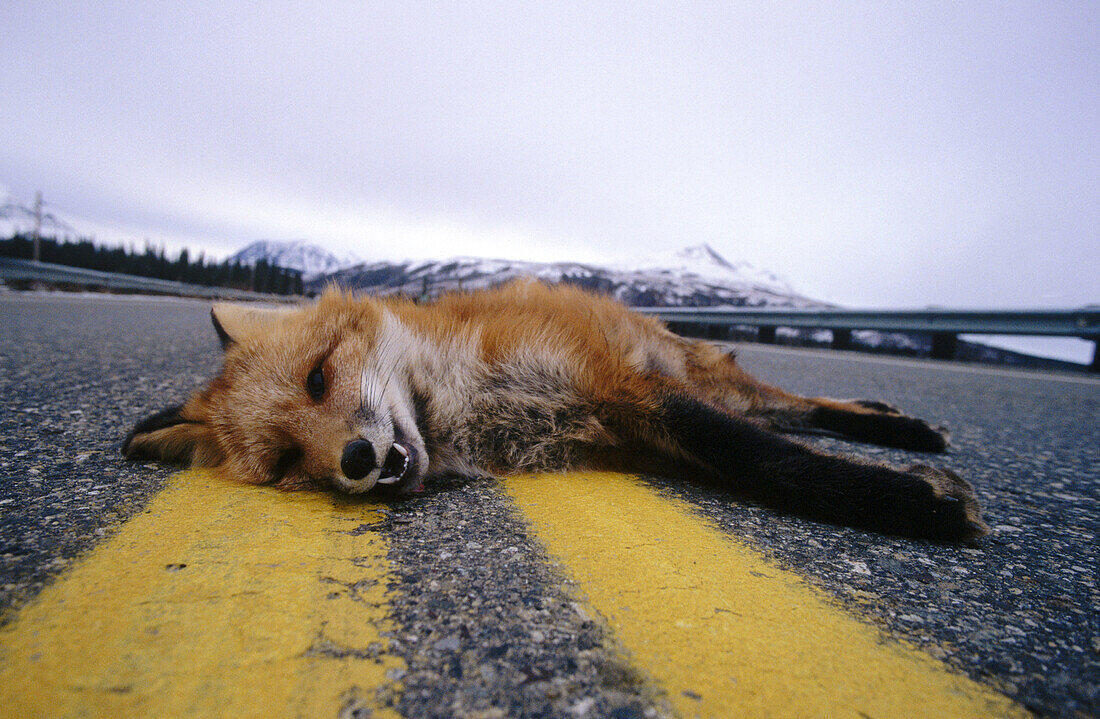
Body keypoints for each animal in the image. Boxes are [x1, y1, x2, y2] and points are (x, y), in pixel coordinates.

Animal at [122, 281, 990, 540]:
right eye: (286, 464)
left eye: (316, 377)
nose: (357, 461)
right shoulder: (633, 420)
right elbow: (756, 449)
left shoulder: (623, 390)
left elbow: (761, 456)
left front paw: (915, 499)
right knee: (788, 412)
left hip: (695, 373)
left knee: (796, 408)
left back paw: (899, 426)